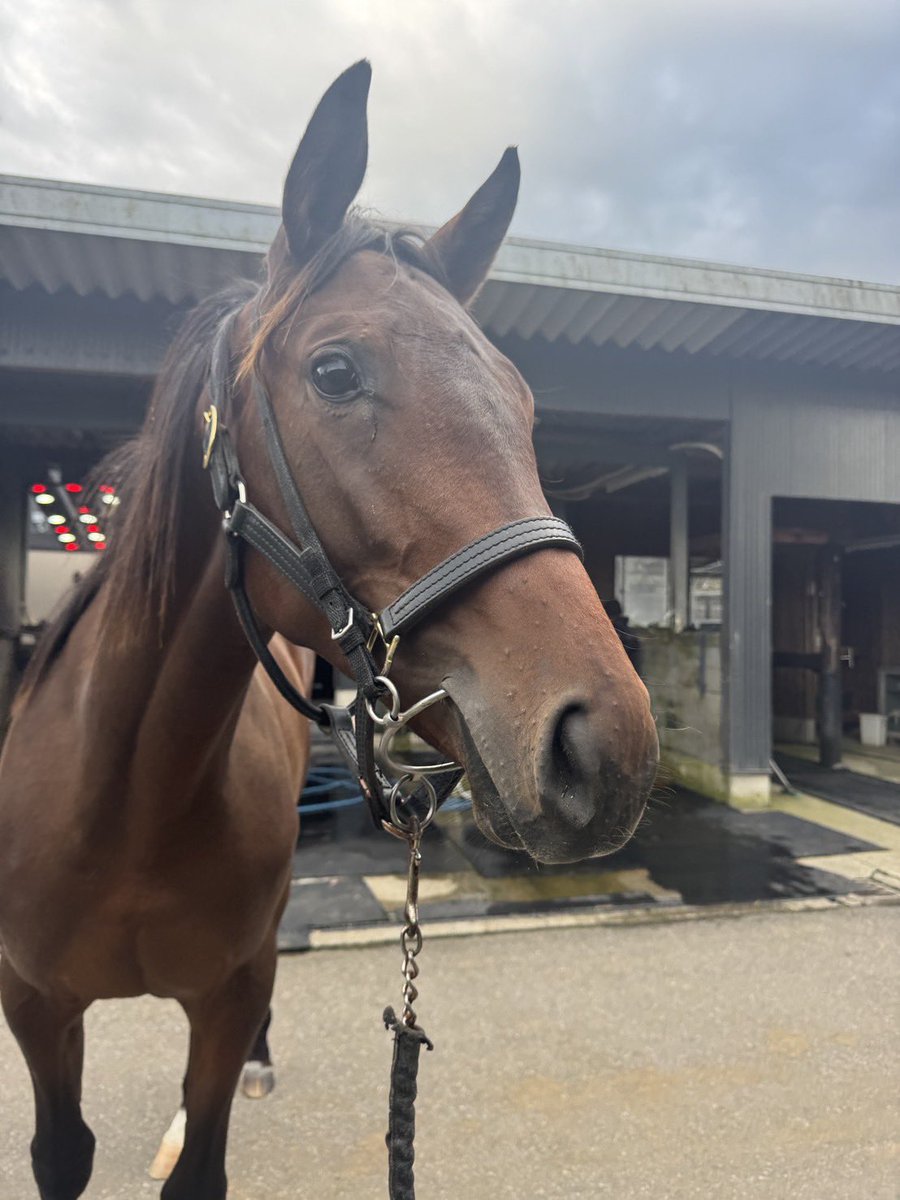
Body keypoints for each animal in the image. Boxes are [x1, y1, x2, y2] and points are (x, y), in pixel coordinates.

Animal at [0, 61, 659, 1199]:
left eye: (522, 402)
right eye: (336, 372)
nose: (604, 743)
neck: (130, 800)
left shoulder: (223, 996)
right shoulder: (36, 1008)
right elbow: (60, 1154)